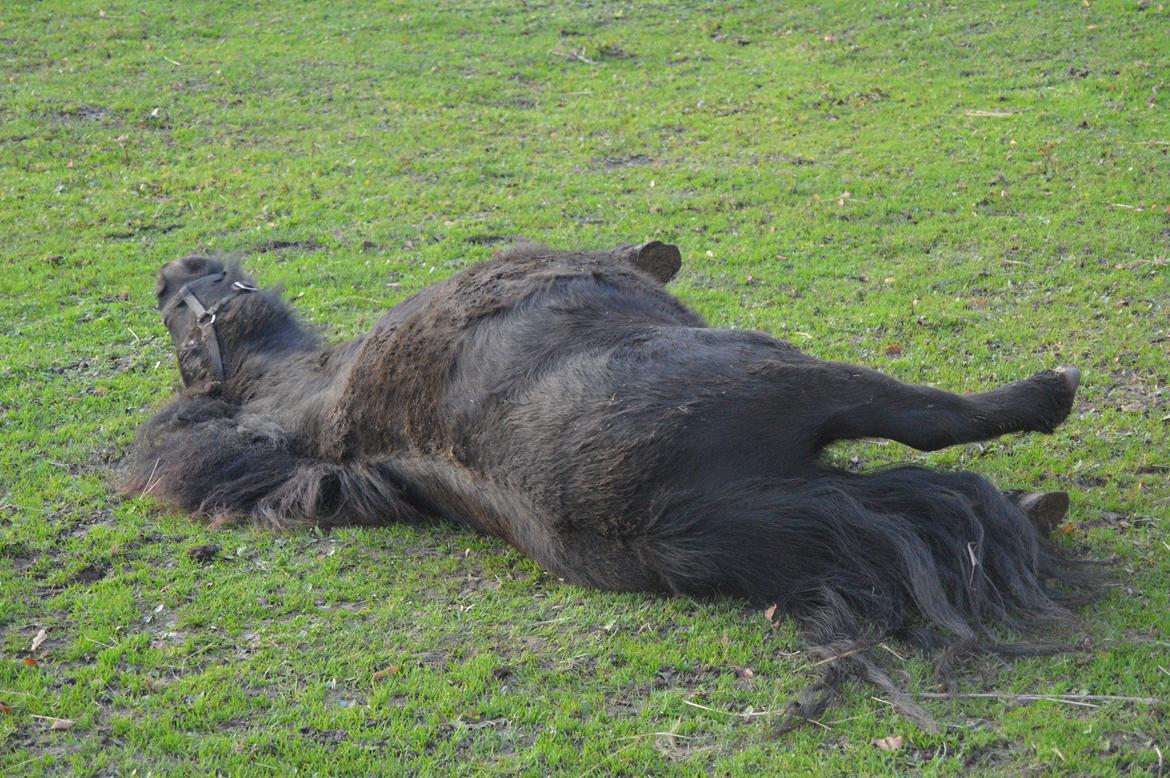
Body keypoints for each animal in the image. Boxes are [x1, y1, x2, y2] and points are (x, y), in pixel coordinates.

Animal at [128, 243, 1095, 730]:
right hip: (801, 384)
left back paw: (1032, 508)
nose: (174, 268)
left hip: (799, 501)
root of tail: (667, 519)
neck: (324, 392)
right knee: (931, 422)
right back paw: (1047, 395)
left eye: (182, 305)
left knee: (915, 504)